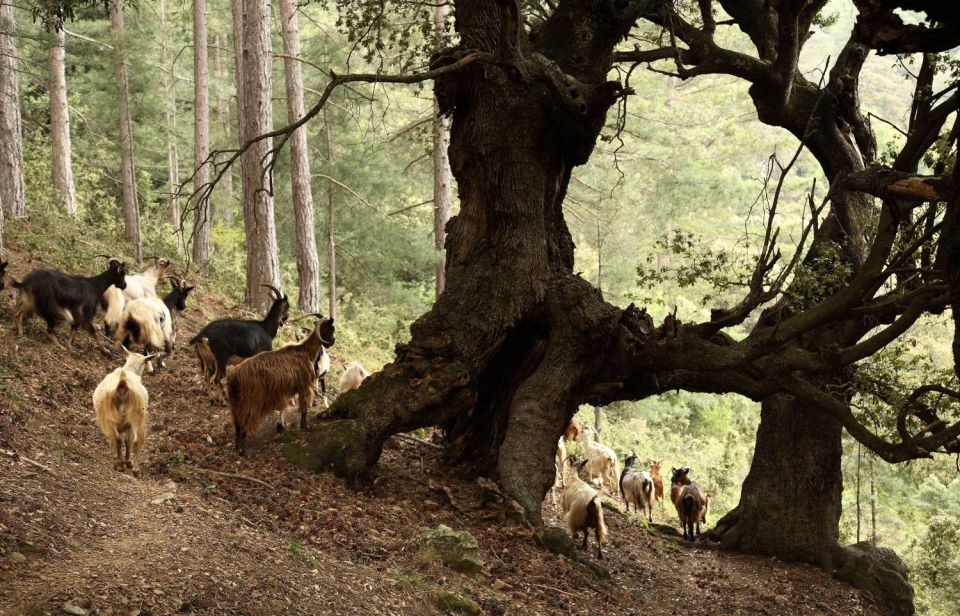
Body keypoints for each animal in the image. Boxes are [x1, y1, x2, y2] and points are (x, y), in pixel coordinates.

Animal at [93, 346, 157, 476]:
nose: (152, 371)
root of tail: (122, 382)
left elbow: (118, 440)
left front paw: (120, 461)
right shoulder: (129, 425)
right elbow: (128, 441)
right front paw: (127, 461)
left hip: (110, 417)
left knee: (116, 439)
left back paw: (119, 465)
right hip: (136, 417)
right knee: (135, 441)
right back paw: (135, 470)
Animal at [229, 312, 338, 452]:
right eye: (330, 329)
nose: (332, 342)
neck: (306, 351)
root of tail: (234, 376)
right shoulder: (304, 386)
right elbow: (304, 408)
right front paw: (304, 427)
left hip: (235, 401)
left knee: (237, 421)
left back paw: (238, 446)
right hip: (250, 400)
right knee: (244, 420)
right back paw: (242, 449)